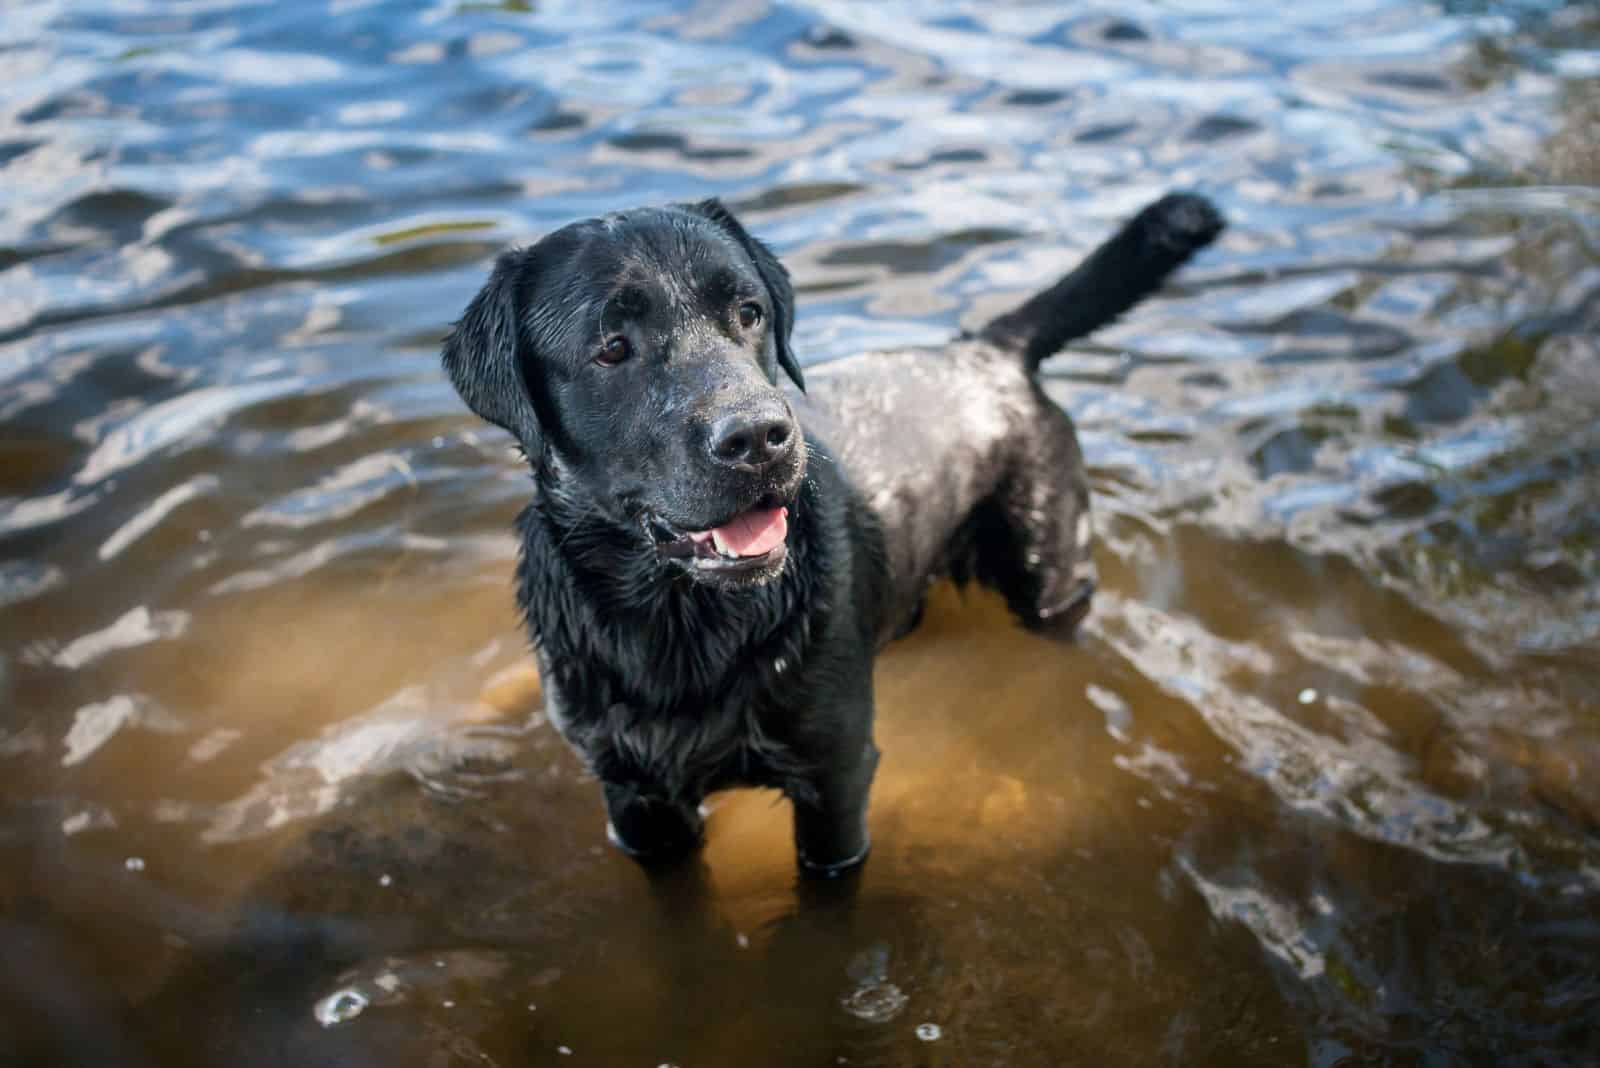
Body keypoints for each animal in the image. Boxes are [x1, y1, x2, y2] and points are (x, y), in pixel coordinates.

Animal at [444, 191, 1216, 876]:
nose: (759, 437)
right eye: (610, 348)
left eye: (749, 312)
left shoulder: (835, 778)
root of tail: (988, 349)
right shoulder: (635, 802)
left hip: (1049, 569)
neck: (682, 626)